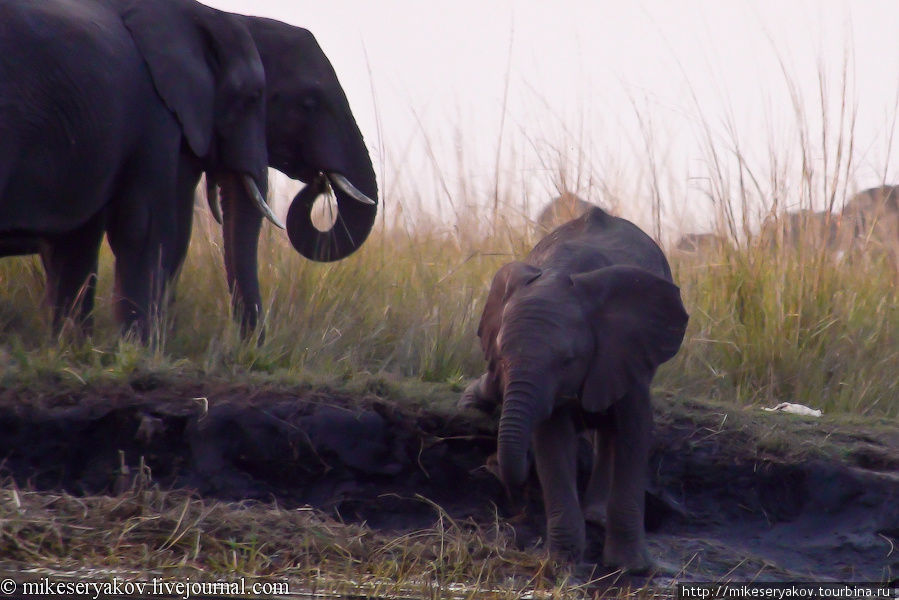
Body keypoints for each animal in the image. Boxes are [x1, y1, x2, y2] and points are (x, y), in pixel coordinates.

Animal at [0, 0, 270, 338]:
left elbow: (75, 243)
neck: (199, 14)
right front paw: (137, 346)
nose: (247, 346)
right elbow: (143, 228)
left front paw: (73, 347)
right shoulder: (156, 113)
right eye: (252, 97)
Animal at [464, 207, 688, 572]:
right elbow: (552, 441)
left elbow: (634, 432)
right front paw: (562, 563)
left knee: (611, 431)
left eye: (567, 360)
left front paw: (630, 568)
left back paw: (596, 516)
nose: (491, 464)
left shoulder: (623, 348)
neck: (561, 272)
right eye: (500, 354)